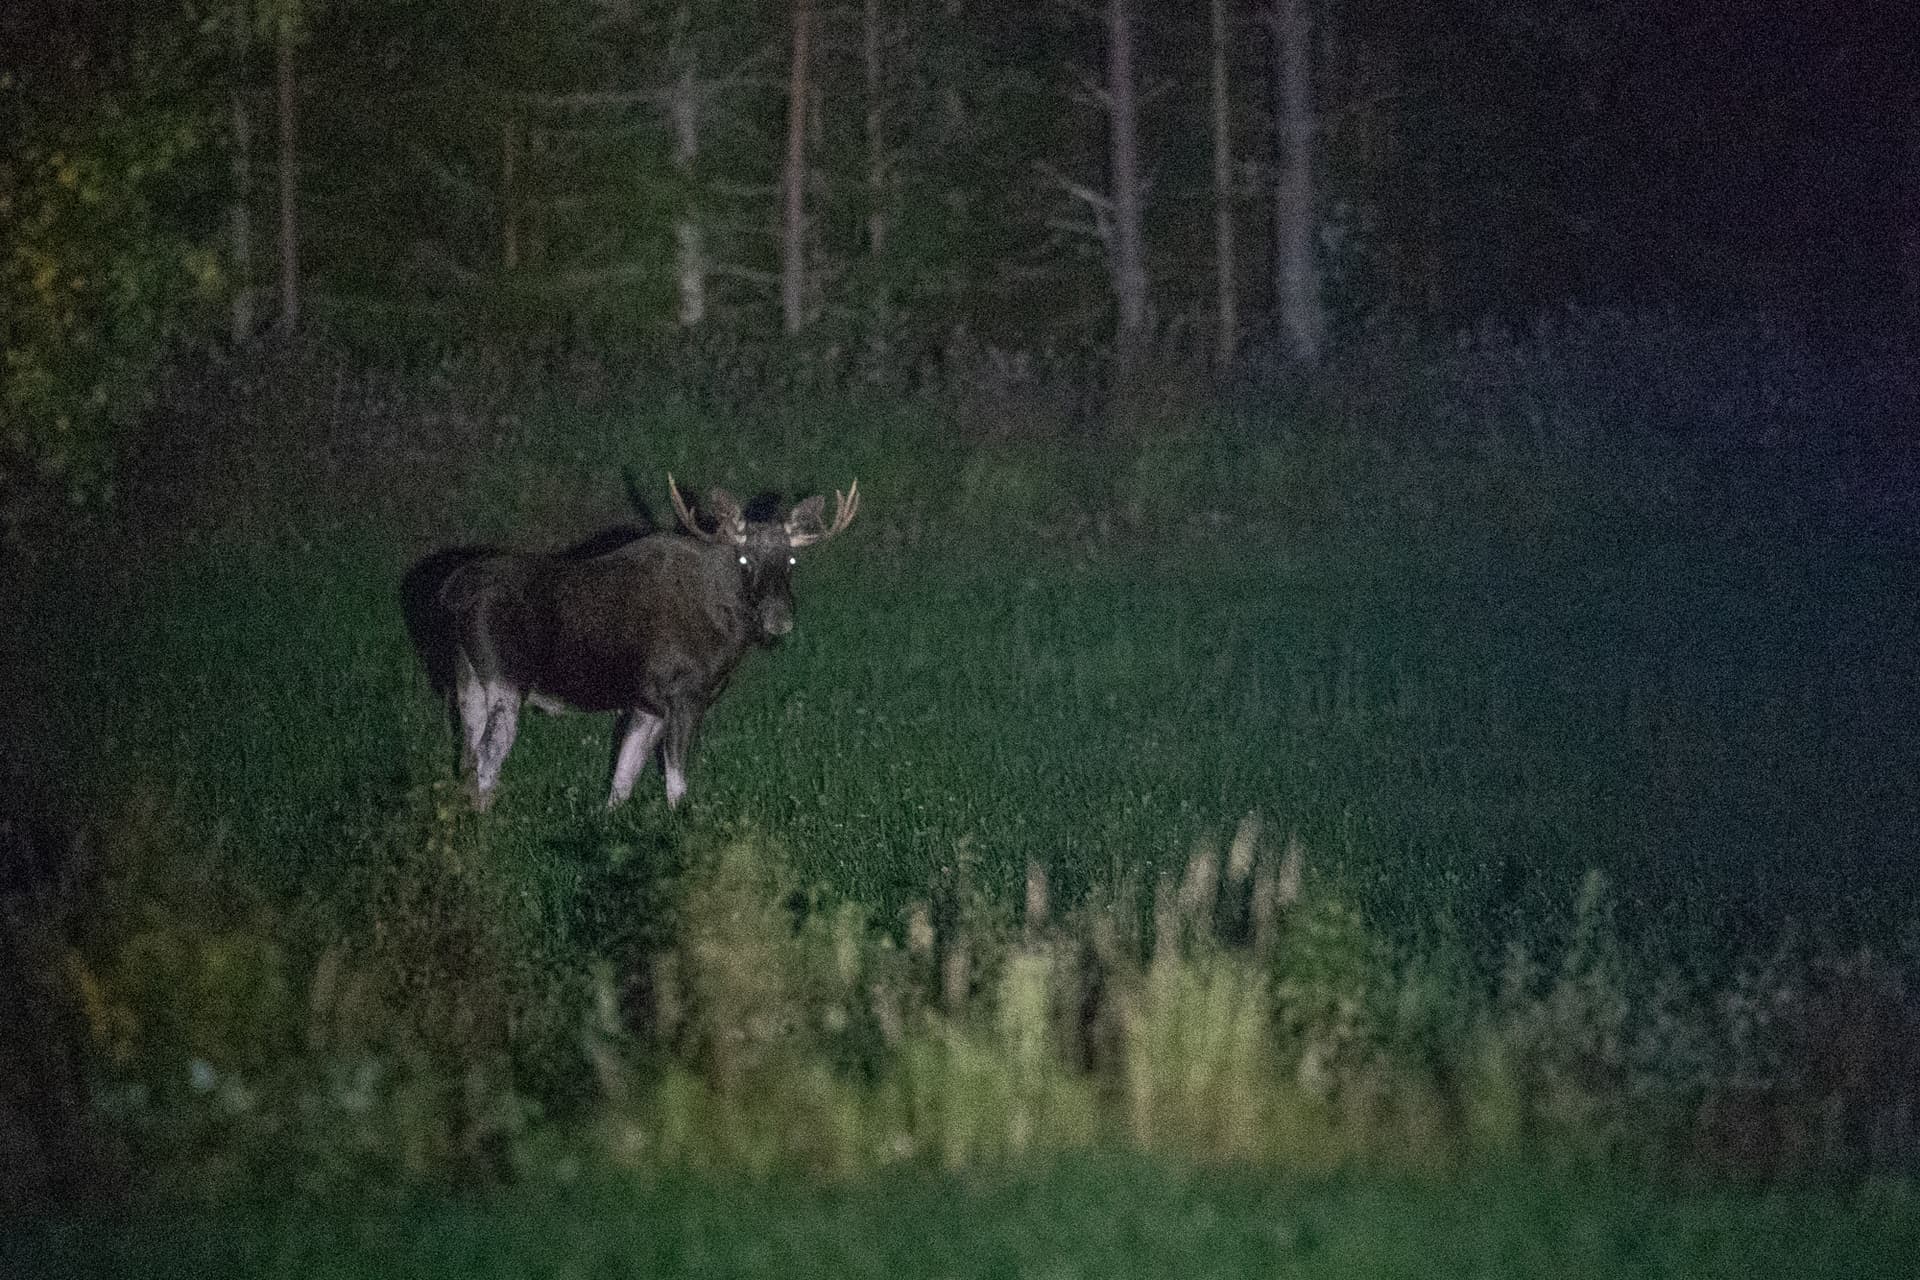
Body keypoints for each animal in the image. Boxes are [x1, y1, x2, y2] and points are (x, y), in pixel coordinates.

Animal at [431, 476, 858, 811]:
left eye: (791, 561)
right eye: (743, 559)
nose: (779, 617)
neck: (728, 633)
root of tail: (452, 592)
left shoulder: (647, 705)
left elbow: (622, 779)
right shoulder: (686, 695)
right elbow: (676, 784)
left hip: (467, 678)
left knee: (466, 752)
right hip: (505, 679)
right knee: (488, 756)